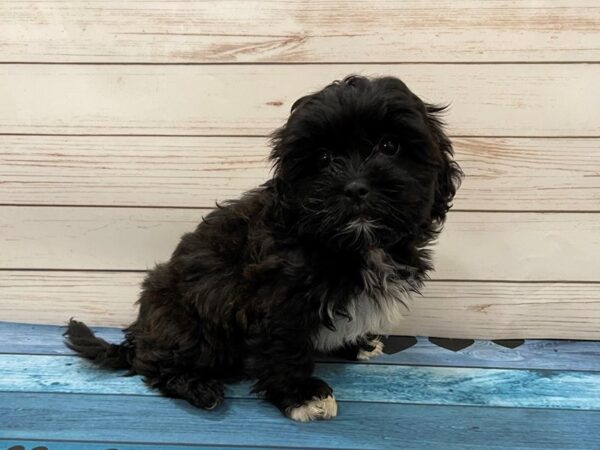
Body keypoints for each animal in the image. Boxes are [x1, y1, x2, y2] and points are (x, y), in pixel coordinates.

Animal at [64, 74, 460, 422]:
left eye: (390, 146)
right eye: (324, 159)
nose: (355, 187)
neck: (354, 244)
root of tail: (141, 331)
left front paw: (356, 343)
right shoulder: (278, 299)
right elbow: (286, 347)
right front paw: (302, 396)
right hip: (187, 327)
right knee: (154, 363)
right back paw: (198, 387)